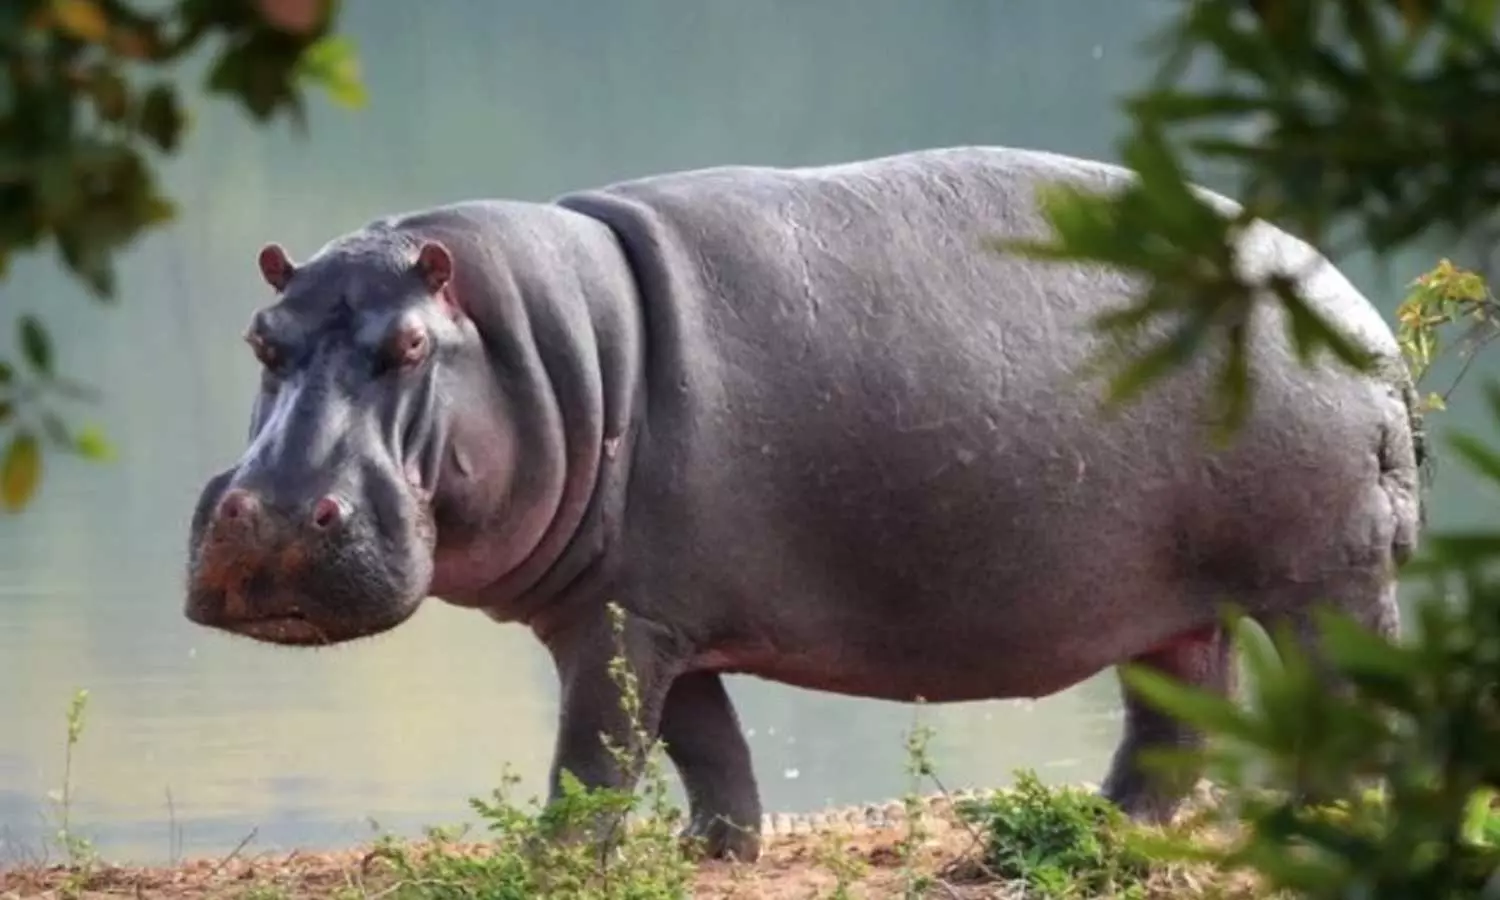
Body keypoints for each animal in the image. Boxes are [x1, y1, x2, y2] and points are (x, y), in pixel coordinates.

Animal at [184, 146, 1425, 863]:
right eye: (259, 338)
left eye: (406, 345)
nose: (274, 517)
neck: (544, 346)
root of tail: (1359, 314)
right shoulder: (644, 612)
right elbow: (705, 750)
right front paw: (712, 856)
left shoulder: (623, 623)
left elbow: (594, 758)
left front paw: (550, 867)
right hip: (1174, 603)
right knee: (1175, 719)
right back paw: (1095, 833)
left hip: (1328, 580)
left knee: (1348, 698)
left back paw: (1322, 822)